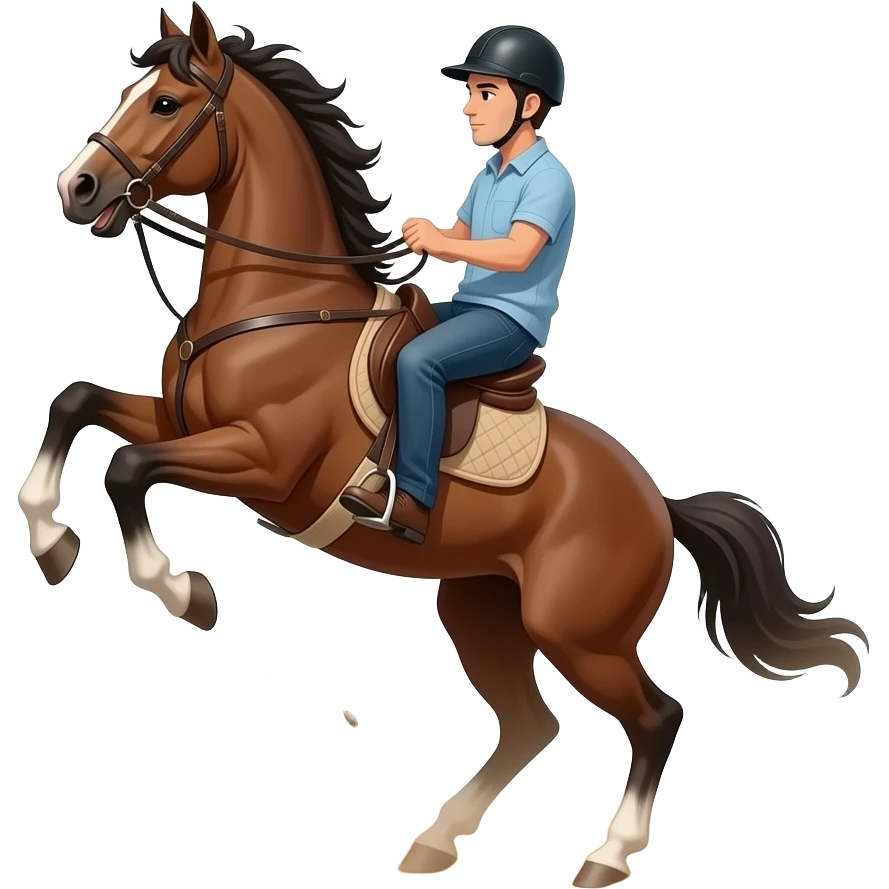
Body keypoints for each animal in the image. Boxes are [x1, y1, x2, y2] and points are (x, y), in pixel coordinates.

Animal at [21, 6, 868, 887]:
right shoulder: (179, 422)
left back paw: (607, 854)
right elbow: (76, 404)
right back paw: (433, 842)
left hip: (577, 631)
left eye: (165, 103)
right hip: (481, 606)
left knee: (656, 715)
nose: (76, 188)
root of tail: (660, 504)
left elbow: (128, 469)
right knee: (532, 724)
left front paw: (183, 591)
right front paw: (51, 541)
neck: (279, 304)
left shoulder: (261, 462)